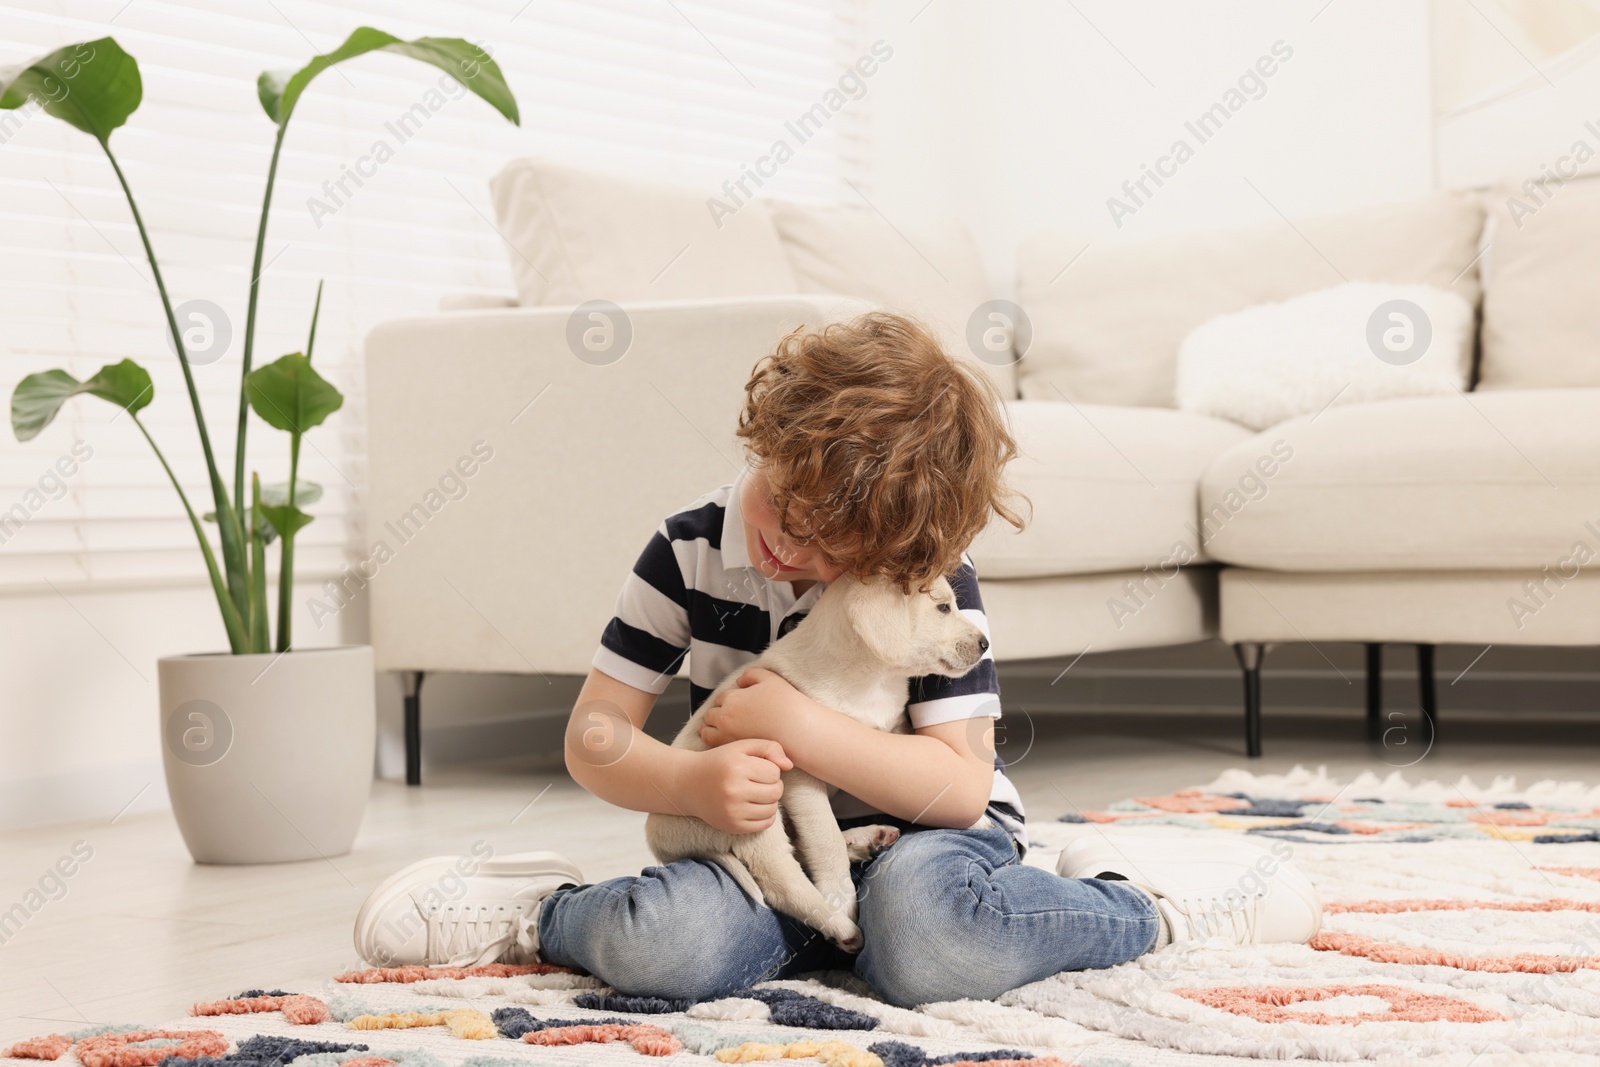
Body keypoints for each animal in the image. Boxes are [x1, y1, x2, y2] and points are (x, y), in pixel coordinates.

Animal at [646, 575, 985, 953]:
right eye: (943, 608)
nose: (985, 644)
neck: (872, 680)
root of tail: (659, 843)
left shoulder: (898, 731)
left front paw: (978, 818)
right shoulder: (800, 775)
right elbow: (825, 841)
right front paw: (840, 897)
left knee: (801, 849)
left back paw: (867, 838)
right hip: (751, 813)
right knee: (779, 875)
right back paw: (838, 924)